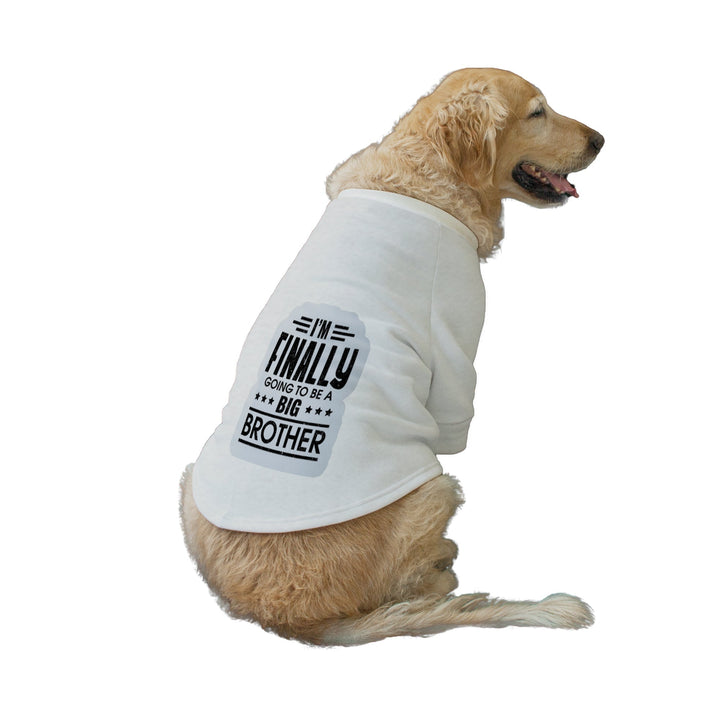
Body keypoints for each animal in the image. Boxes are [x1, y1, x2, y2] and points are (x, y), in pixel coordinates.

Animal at [181, 68, 604, 646]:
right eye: (538, 111)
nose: (601, 140)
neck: (425, 173)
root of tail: (289, 620)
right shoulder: (454, 338)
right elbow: (456, 414)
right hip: (436, 486)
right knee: (420, 579)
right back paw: (444, 567)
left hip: (188, 484)